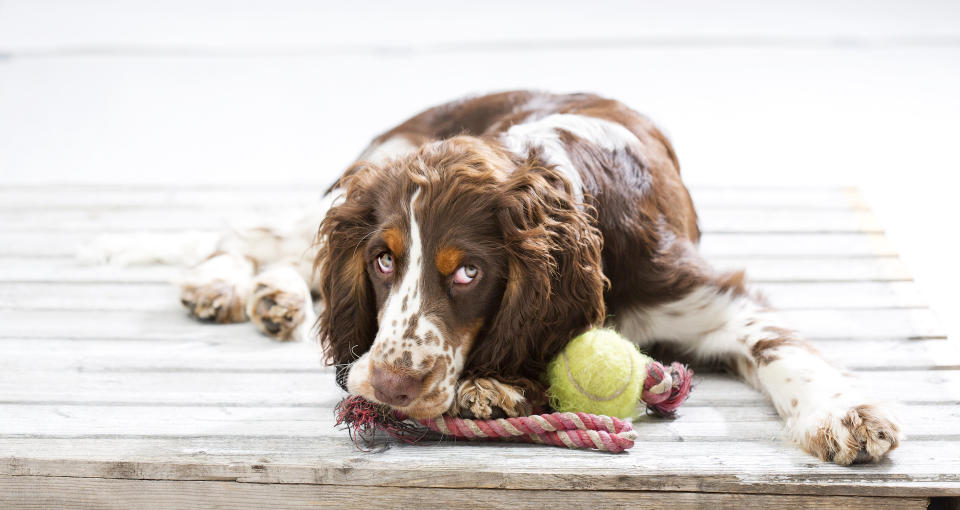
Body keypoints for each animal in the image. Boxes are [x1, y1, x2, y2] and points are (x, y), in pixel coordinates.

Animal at [178, 89, 900, 464]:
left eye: (468, 272)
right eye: (383, 260)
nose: (389, 386)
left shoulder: (707, 297)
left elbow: (783, 349)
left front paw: (845, 416)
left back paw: (273, 298)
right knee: (257, 236)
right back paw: (226, 285)